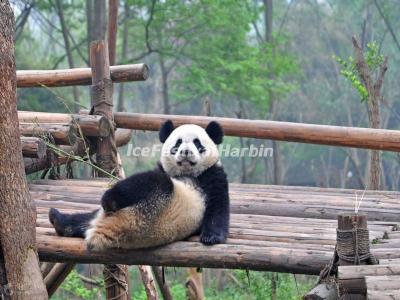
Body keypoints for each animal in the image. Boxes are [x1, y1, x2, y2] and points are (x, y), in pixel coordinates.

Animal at [48, 120, 230, 251]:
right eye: (177, 144)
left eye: (197, 144)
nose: (185, 152)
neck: (187, 173)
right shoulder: (164, 169)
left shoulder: (212, 175)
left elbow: (218, 207)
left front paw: (211, 237)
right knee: (84, 218)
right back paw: (58, 219)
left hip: (153, 207)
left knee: (149, 182)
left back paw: (109, 200)